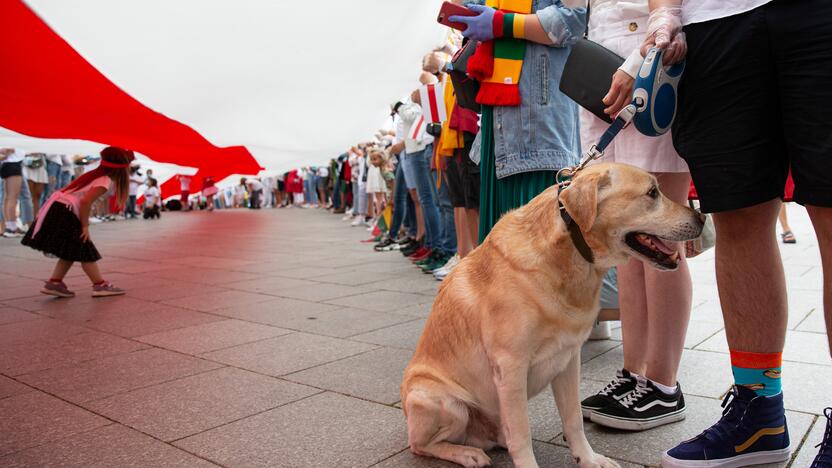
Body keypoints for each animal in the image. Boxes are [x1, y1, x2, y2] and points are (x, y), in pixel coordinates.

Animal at [400, 162, 704, 468]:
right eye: (652, 192)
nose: (702, 217)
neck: (570, 255)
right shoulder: (510, 367)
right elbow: (521, 433)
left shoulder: (568, 359)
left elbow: (573, 421)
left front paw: (588, 458)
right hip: (440, 401)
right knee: (422, 444)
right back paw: (466, 453)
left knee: (498, 433)